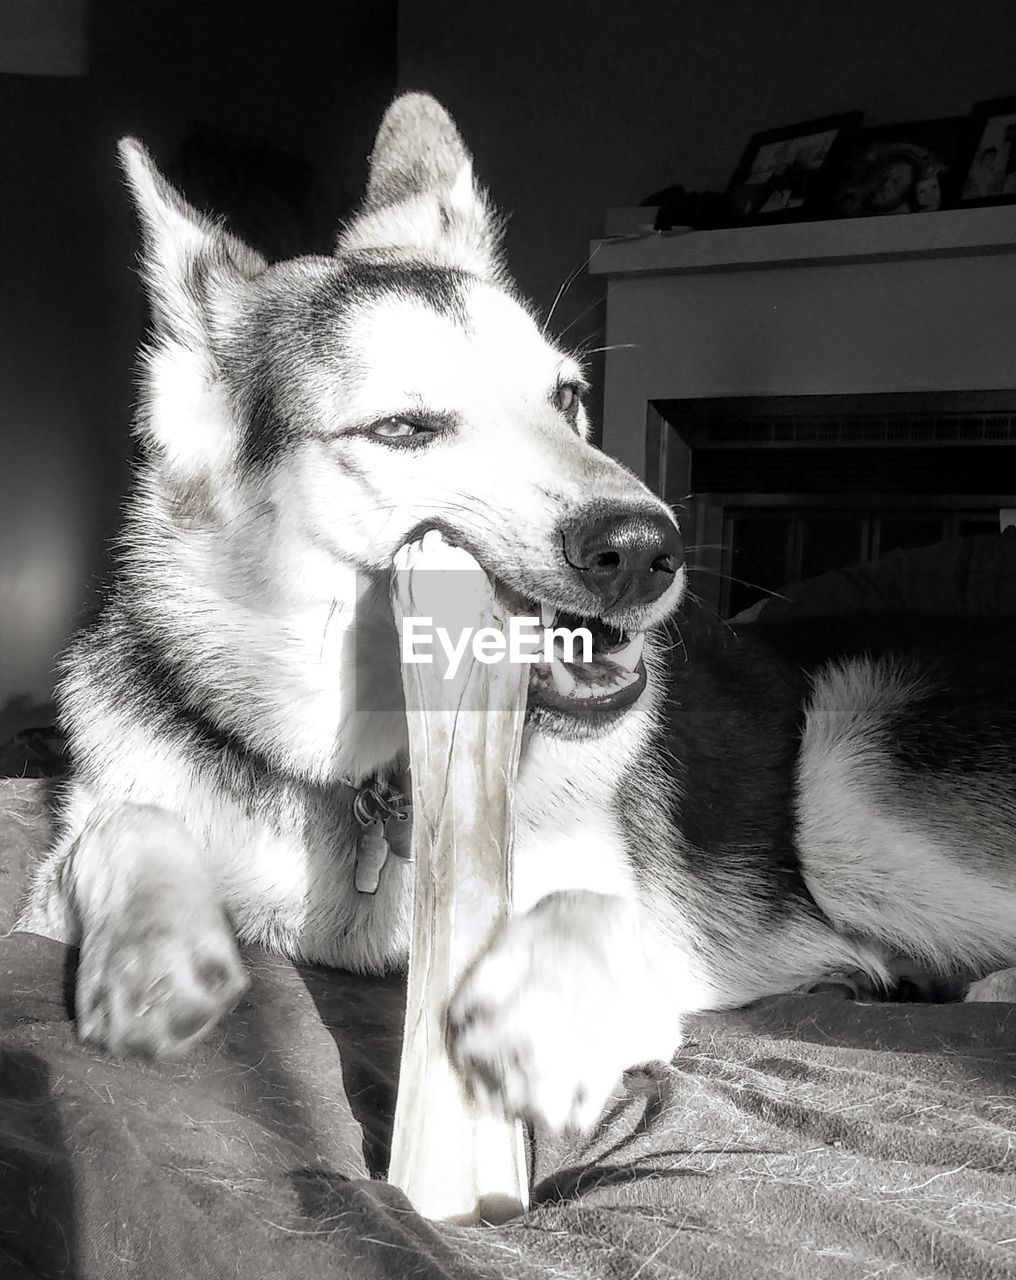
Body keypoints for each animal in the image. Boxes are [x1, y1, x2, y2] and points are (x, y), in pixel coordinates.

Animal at [15, 92, 1013, 1131]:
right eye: (404, 429)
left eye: (567, 399)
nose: (646, 549)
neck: (376, 780)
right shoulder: (64, 869)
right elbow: (119, 829)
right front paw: (155, 951)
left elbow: (580, 927)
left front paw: (544, 1022)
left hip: (847, 773)